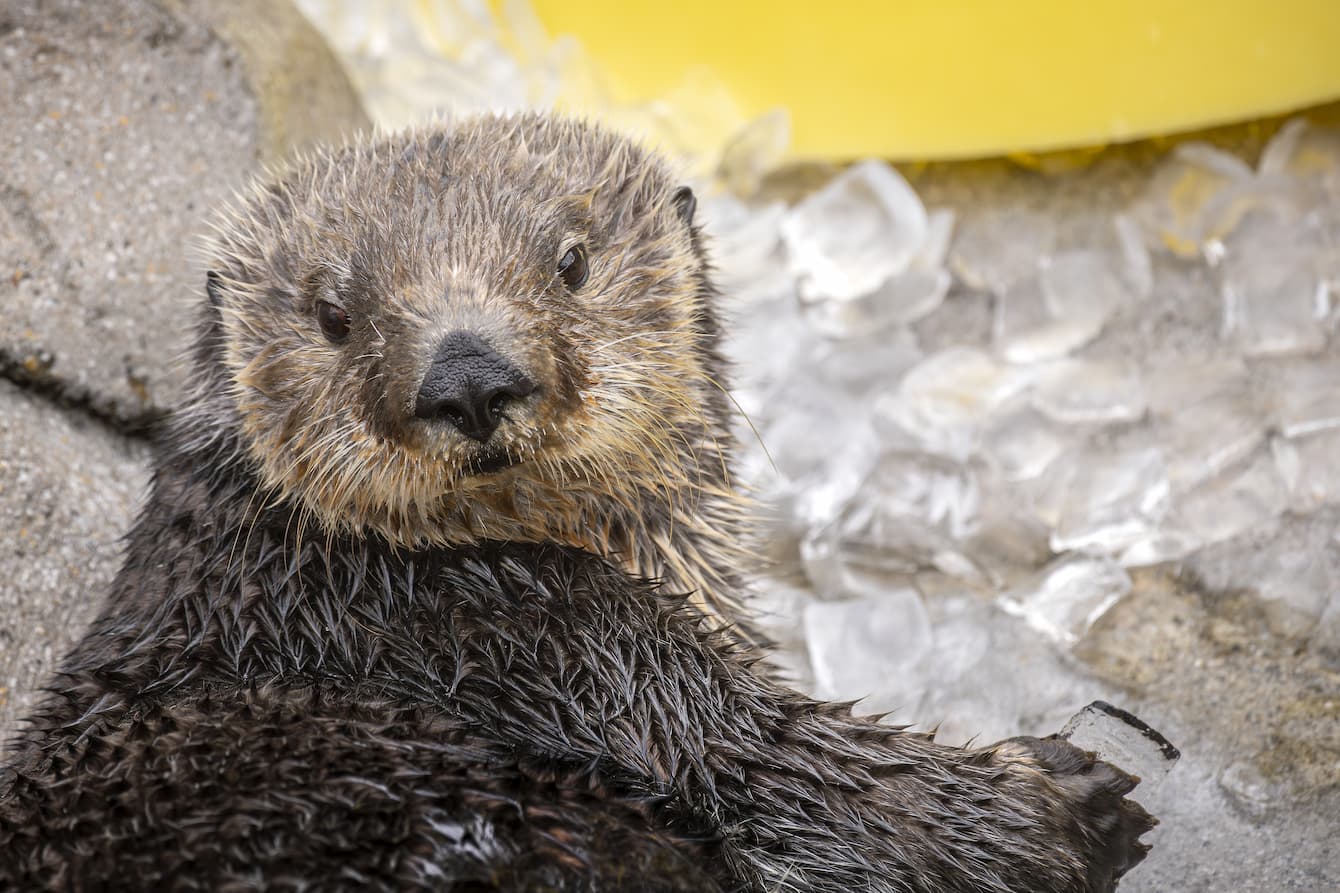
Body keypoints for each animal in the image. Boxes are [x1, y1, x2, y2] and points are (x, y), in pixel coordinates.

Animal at [0, 114, 1156, 892]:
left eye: (570, 261)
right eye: (332, 313)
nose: (467, 375)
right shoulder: (570, 647)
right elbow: (779, 769)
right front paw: (1058, 798)